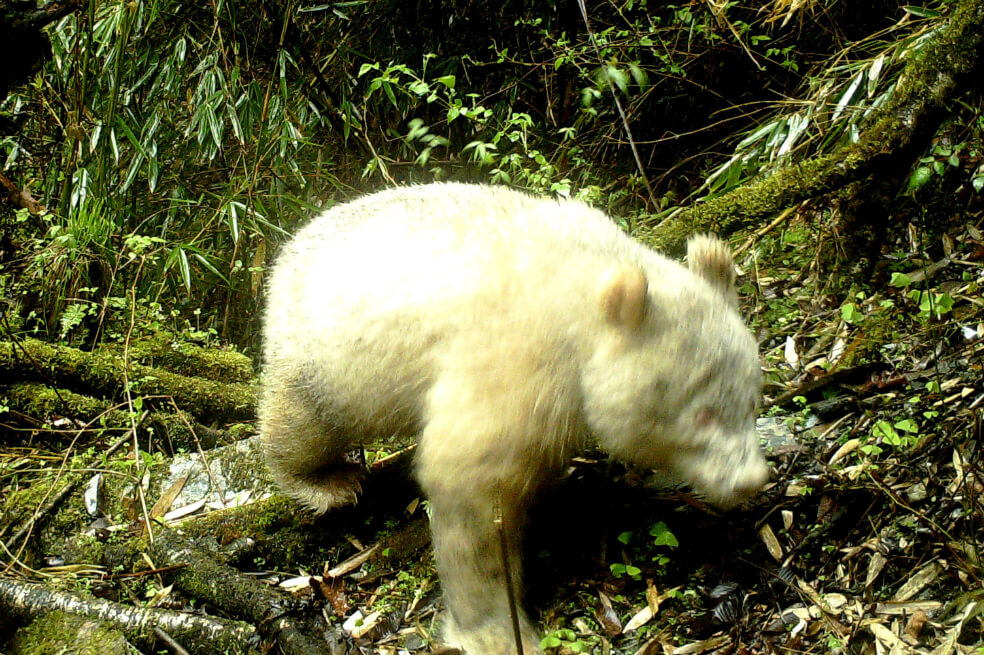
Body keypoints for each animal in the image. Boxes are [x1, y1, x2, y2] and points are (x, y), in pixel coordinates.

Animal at [256, 182, 768, 652]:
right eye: (703, 414)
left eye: (752, 399)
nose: (751, 479)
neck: (583, 290)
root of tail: (288, 249)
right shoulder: (516, 358)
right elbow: (470, 485)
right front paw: (494, 629)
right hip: (323, 353)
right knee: (303, 422)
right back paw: (326, 482)